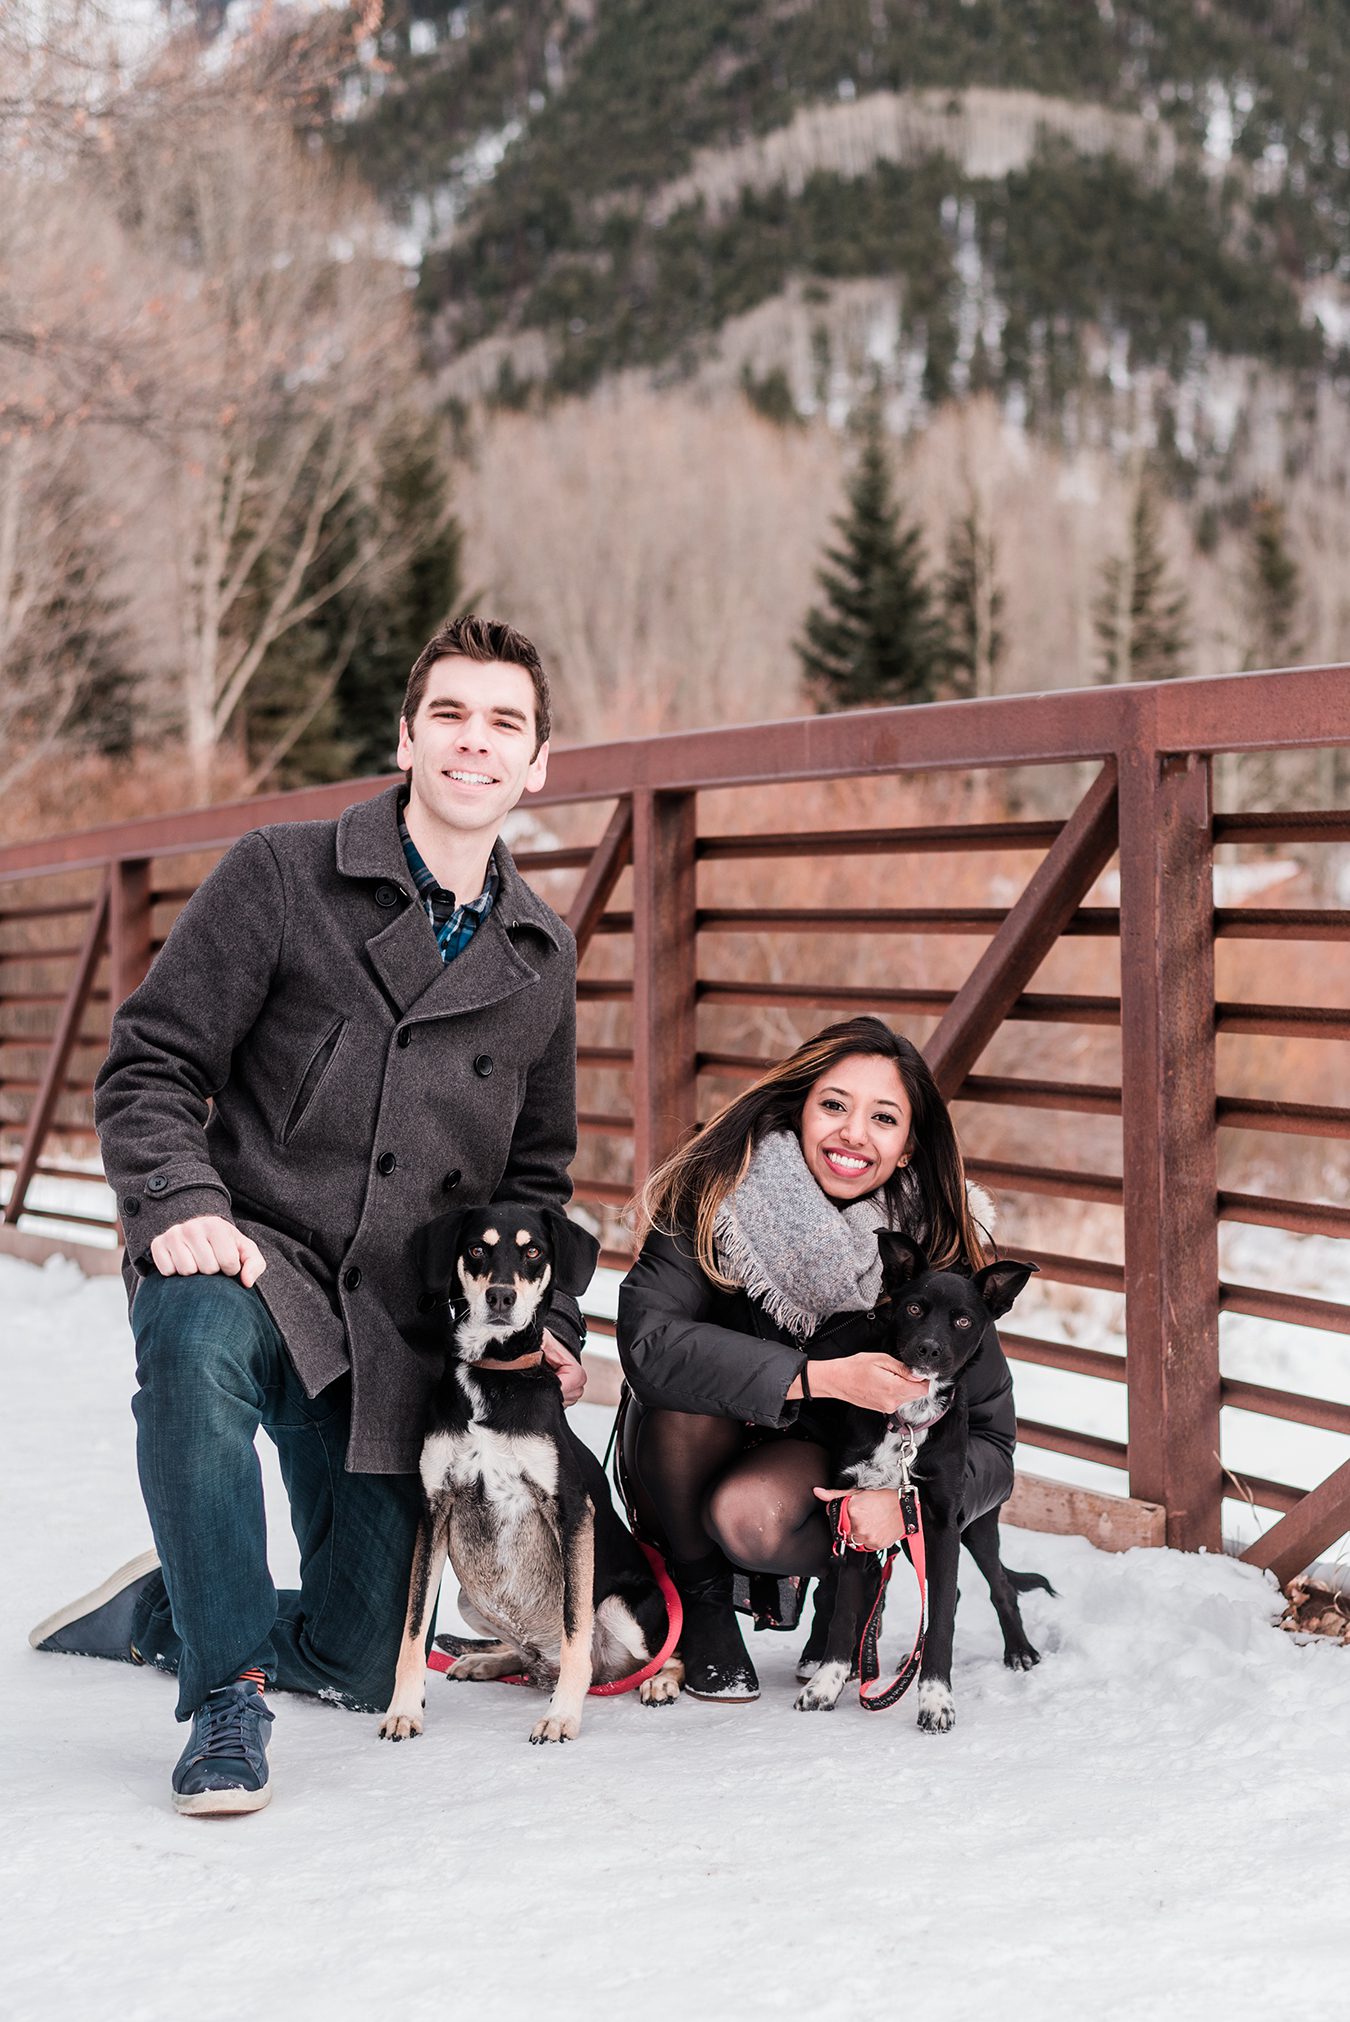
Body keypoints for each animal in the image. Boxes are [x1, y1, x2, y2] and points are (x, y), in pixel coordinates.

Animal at [379, 1197, 679, 1738]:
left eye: (533, 1251)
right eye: (476, 1249)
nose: (500, 1297)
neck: (491, 1375)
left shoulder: (572, 1511)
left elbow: (576, 1626)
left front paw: (562, 1717)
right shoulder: (433, 1511)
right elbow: (412, 1629)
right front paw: (404, 1710)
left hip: (624, 1608)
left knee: (659, 1654)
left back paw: (658, 1681)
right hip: (470, 1599)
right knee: (530, 1658)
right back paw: (488, 1661)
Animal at [792, 1229, 1050, 1738]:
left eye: (964, 1320)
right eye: (913, 1308)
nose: (929, 1349)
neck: (908, 1424)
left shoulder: (943, 1521)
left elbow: (945, 1618)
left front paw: (935, 1700)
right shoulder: (855, 1515)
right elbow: (844, 1611)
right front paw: (826, 1685)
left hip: (975, 1527)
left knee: (999, 1587)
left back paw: (1019, 1651)